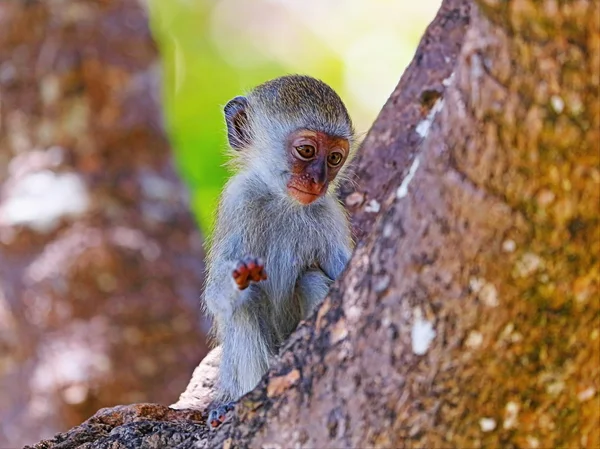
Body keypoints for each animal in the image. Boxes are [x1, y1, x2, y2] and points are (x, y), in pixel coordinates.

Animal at [206, 74, 356, 428]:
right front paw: (237, 277)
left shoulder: (330, 213)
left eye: (334, 158)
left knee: (311, 278)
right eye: (306, 150)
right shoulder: (238, 200)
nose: (317, 180)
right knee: (246, 303)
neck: (282, 202)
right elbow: (217, 297)